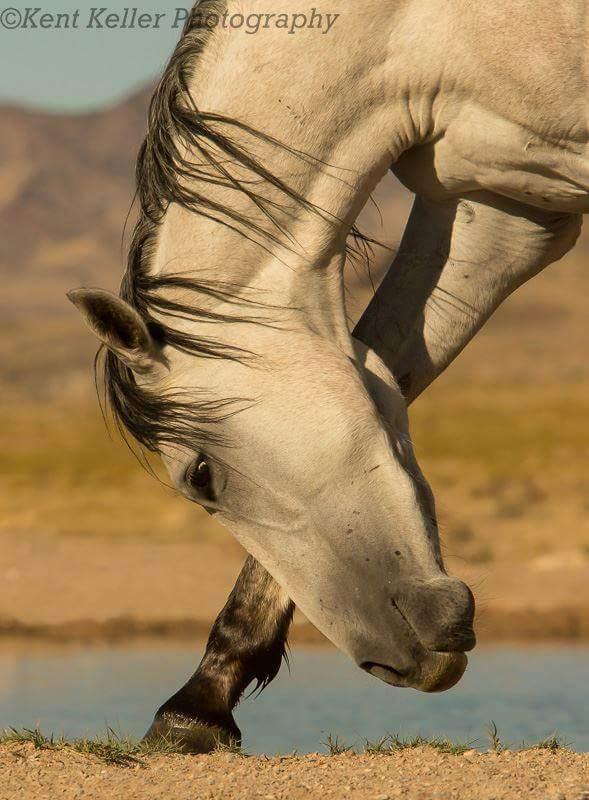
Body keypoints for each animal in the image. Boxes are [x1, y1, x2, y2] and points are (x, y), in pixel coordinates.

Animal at [68, 0, 584, 752]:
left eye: (200, 476)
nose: (397, 661)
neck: (425, 30)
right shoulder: (500, 204)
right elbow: (390, 364)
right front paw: (198, 705)